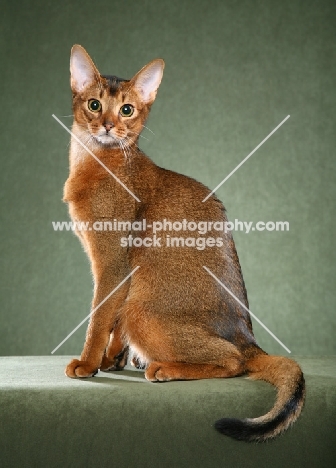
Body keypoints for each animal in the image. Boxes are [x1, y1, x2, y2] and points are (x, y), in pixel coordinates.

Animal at [63, 44, 304, 442]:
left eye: (126, 109)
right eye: (94, 104)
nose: (109, 125)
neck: (95, 161)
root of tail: (248, 338)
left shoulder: (112, 263)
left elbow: (99, 317)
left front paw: (87, 363)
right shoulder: (119, 272)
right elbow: (112, 322)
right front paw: (111, 359)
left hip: (143, 311)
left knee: (234, 361)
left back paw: (164, 368)